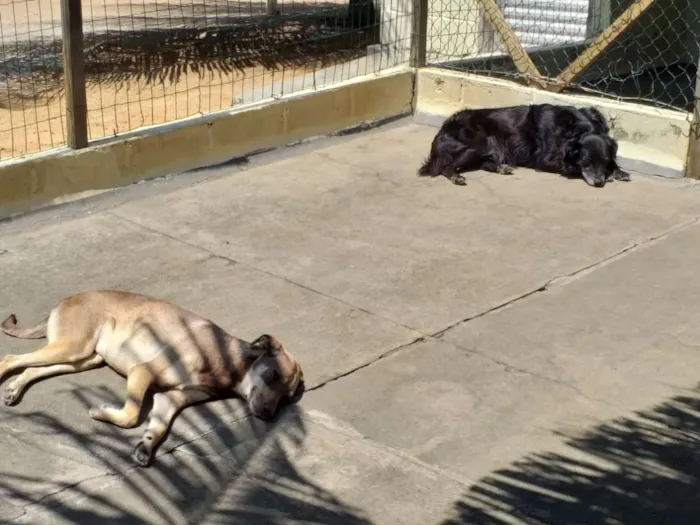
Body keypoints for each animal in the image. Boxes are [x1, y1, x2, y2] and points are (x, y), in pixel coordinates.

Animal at [0, 290, 306, 466]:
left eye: (287, 397)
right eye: (273, 374)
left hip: (82, 358)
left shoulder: (169, 399)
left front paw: (145, 447)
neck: (227, 362)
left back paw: (14, 390)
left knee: (31, 368)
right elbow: (131, 414)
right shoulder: (142, 372)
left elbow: (157, 428)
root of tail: (63, 301)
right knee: (10, 359)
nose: (267, 415)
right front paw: (101, 412)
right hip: (74, 348)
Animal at [418, 103, 632, 187]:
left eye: (604, 160)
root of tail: (442, 131)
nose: (599, 182)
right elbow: (571, 167)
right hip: (476, 146)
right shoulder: (545, 160)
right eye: (585, 162)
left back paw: (502, 167)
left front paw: (617, 170)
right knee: (446, 167)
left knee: (485, 163)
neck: (580, 127)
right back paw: (456, 177)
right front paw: (610, 174)